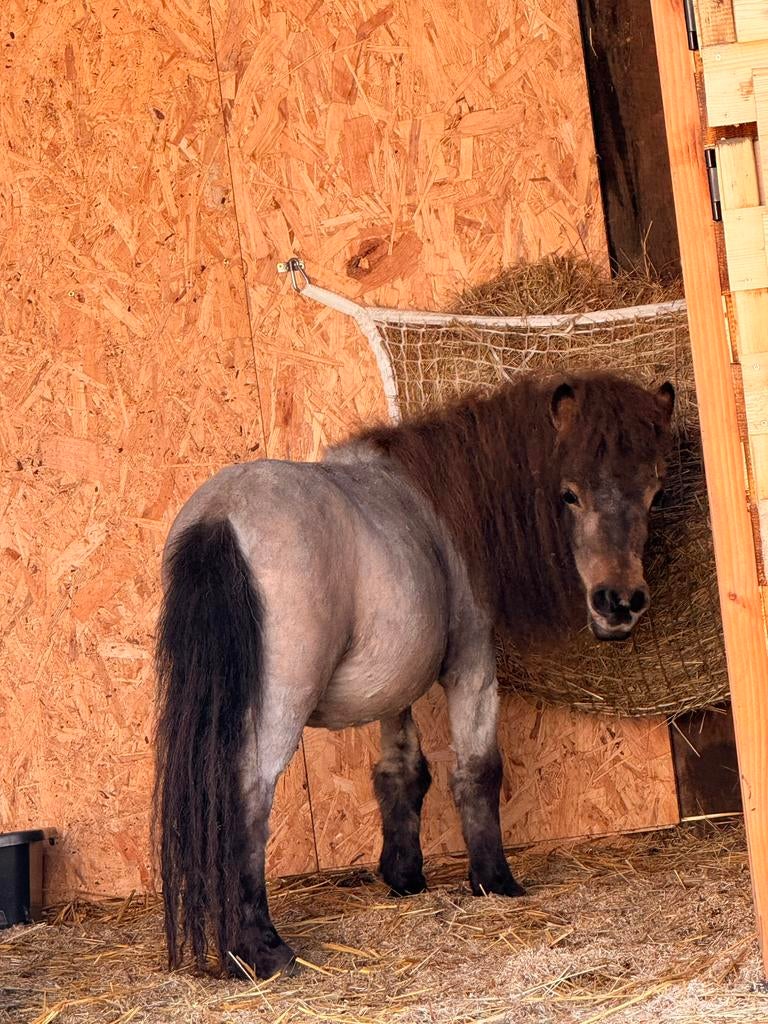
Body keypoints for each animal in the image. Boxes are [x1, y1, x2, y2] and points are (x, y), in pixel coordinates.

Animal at [154, 371, 675, 979]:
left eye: (655, 491)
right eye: (568, 493)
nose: (620, 604)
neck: (439, 509)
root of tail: (223, 515)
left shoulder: (392, 687)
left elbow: (401, 772)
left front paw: (404, 875)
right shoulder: (471, 664)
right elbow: (477, 770)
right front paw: (494, 881)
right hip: (279, 705)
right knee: (247, 795)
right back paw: (261, 949)